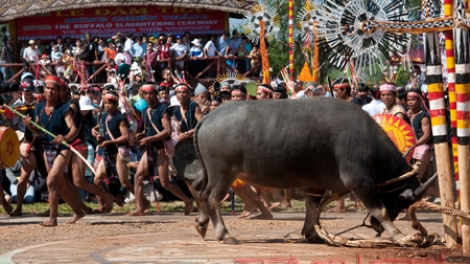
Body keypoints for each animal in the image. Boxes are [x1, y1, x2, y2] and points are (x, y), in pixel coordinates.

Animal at [189, 96, 436, 243]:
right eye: (403, 199)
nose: (376, 228)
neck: (368, 141)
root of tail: (208, 117)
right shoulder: (359, 181)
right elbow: (380, 210)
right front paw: (398, 234)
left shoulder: (315, 184)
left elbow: (312, 208)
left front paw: (311, 234)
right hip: (223, 173)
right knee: (212, 198)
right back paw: (224, 234)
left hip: (209, 172)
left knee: (198, 189)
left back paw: (201, 224)